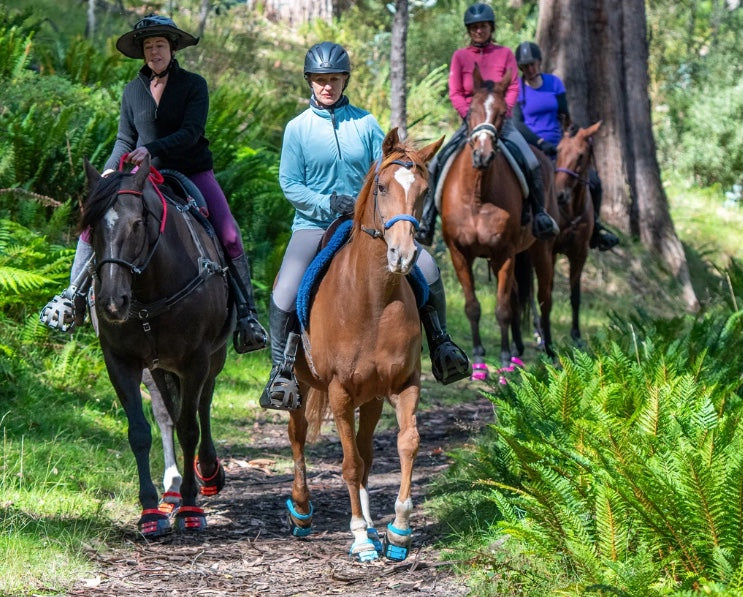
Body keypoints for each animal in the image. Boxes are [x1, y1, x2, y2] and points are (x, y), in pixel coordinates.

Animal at [83, 157, 231, 536]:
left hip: (213, 358)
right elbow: (140, 431)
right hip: (159, 368)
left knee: (202, 407)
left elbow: (190, 428)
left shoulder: (196, 359)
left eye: (138, 223)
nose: (112, 302)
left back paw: (208, 473)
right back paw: (171, 490)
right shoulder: (121, 362)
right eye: (91, 226)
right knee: (167, 415)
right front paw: (150, 510)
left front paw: (192, 508)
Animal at [284, 128, 442, 560]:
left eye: (424, 190)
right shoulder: (339, 391)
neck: (372, 300)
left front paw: (398, 531)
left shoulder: (404, 384)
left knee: (366, 449)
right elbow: (350, 464)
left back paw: (373, 525)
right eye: (382, 187)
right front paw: (359, 537)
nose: (403, 255)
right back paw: (302, 511)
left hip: (371, 396)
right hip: (303, 386)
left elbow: (407, 444)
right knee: (299, 435)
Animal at [438, 65, 556, 380]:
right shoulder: (460, 254)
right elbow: (473, 307)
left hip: (540, 250)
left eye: (503, 113)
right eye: (471, 111)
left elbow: (502, 308)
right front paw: (479, 363)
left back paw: (547, 352)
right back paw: (518, 353)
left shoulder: (504, 254)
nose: (482, 155)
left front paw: (502, 364)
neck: (477, 193)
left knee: (544, 299)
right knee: (517, 298)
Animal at [528, 118, 600, 356]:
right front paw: (546, 338)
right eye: (558, 150)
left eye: (581, 155)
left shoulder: (580, 252)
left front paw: (576, 336)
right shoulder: (548, 252)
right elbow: (547, 294)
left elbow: (575, 295)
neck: (570, 208)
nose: (559, 195)